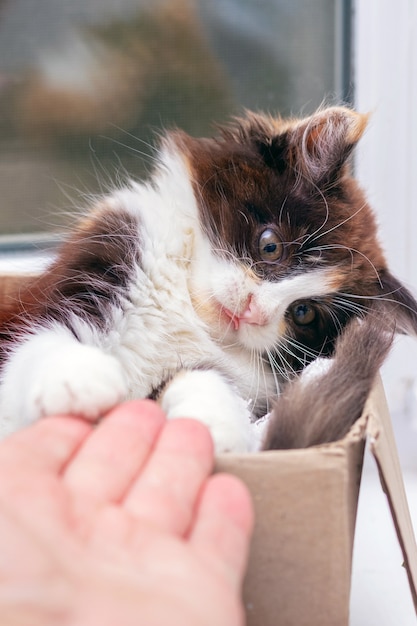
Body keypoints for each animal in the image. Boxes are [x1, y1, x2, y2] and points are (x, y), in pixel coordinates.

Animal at [0, 107, 416, 448]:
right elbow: (45, 334)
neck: (186, 305)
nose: (253, 310)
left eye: (304, 314)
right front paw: (75, 378)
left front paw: (211, 426)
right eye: (270, 246)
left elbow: (196, 377)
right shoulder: (85, 272)